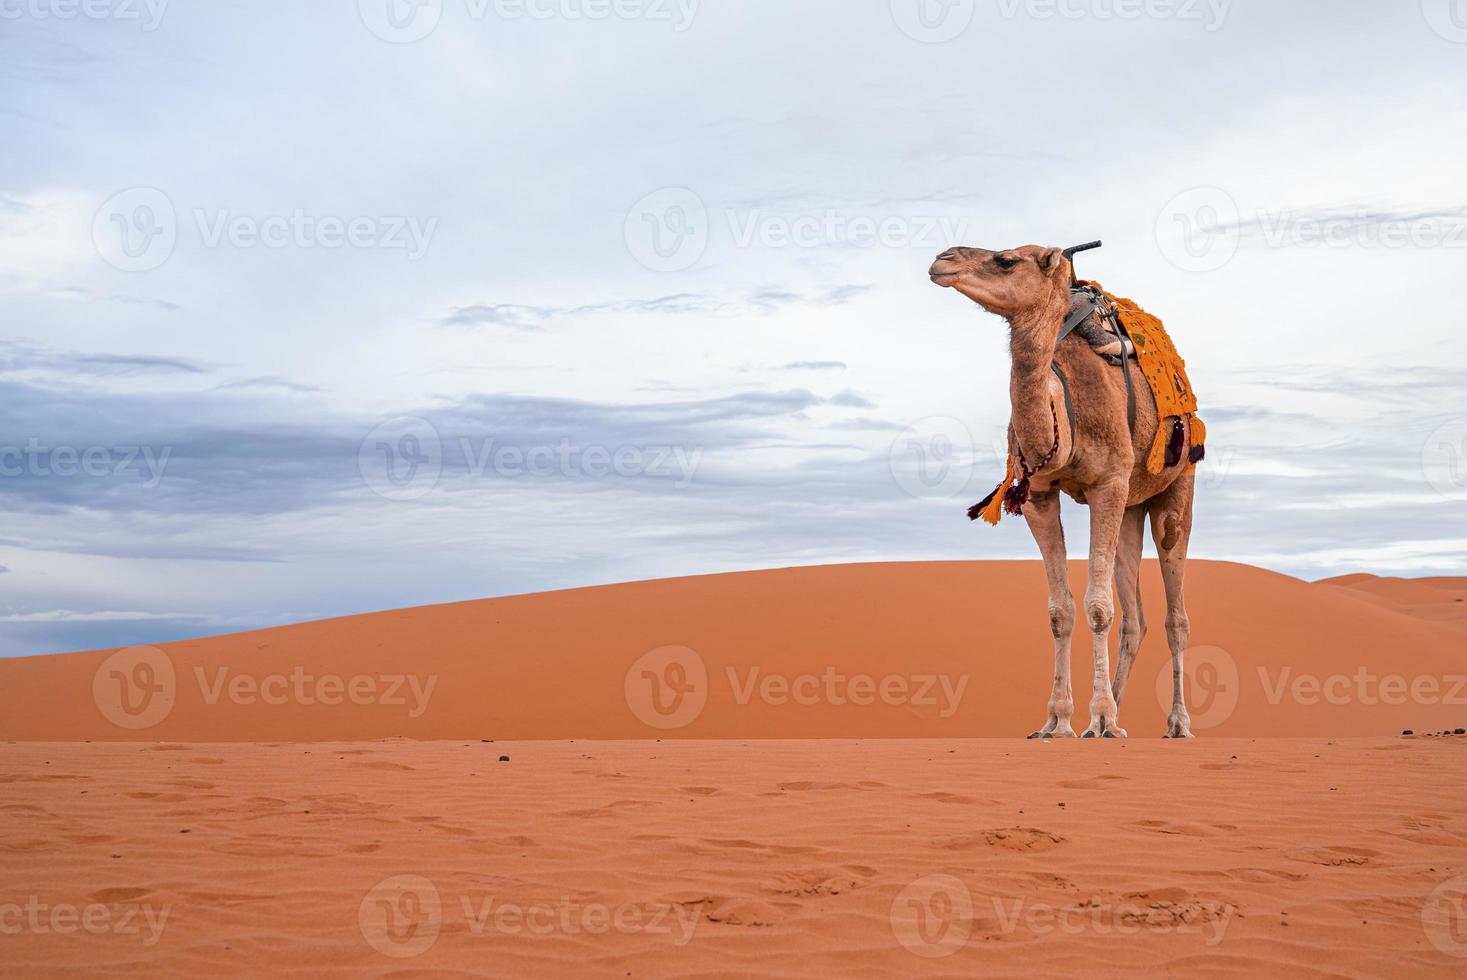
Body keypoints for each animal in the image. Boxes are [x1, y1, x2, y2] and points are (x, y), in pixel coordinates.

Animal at [933, 243, 1197, 733]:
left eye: (1006, 259)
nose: (943, 259)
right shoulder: (1038, 494)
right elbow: (1062, 611)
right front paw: (1058, 720)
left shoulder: (1107, 484)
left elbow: (1098, 608)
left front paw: (1099, 718)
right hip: (1132, 503)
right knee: (1135, 617)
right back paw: (1119, 709)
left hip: (1178, 484)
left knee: (1176, 615)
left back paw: (1176, 723)